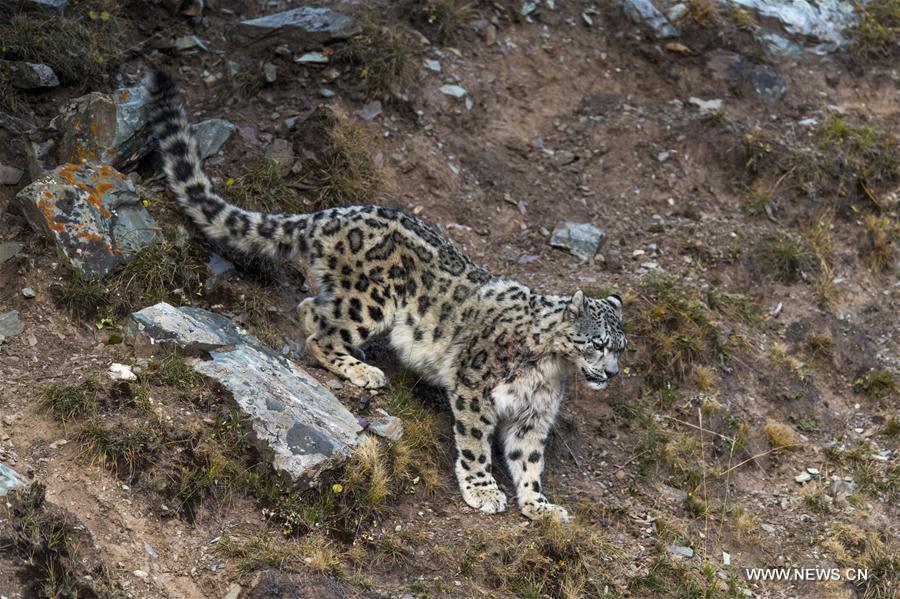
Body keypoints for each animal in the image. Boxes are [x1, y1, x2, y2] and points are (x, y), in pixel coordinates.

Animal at [148, 69, 624, 520]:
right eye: (599, 343)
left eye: (621, 347)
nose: (613, 373)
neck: (550, 367)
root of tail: (327, 214)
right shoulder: (474, 387)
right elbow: (475, 442)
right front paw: (483, 491)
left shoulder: (533, 416)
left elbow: (528, 461)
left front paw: (540, 506)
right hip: (370, 301)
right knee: (320, 330)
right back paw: (363, 371)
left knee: (310, 307)